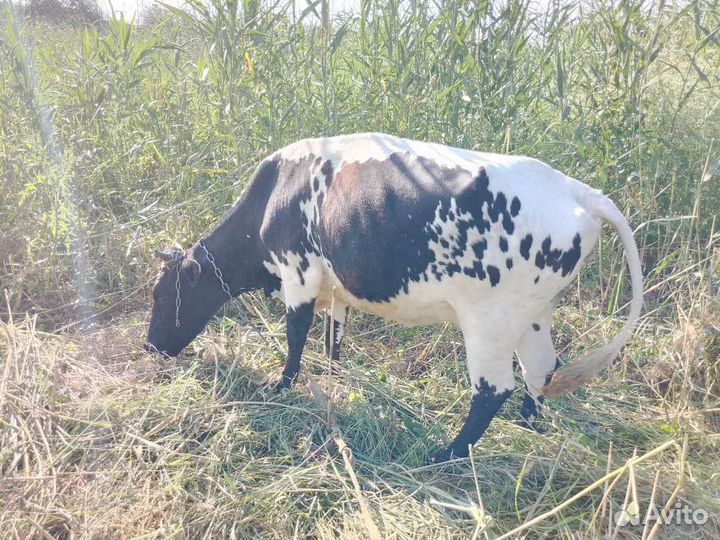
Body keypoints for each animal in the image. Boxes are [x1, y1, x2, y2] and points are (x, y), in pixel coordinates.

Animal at [145, 132, 643, 463]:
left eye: (162, 296)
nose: (149, 347)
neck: (275, 194)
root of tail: (578, 190)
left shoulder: (298, 271)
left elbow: (295, 335)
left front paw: (280, 385)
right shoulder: (336, 287)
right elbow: (333, 337)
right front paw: (335, 377)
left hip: (490, 322)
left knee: (493, 388)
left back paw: (447, 454)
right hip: (533, 314)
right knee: (541, 367)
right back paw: (527, 423)